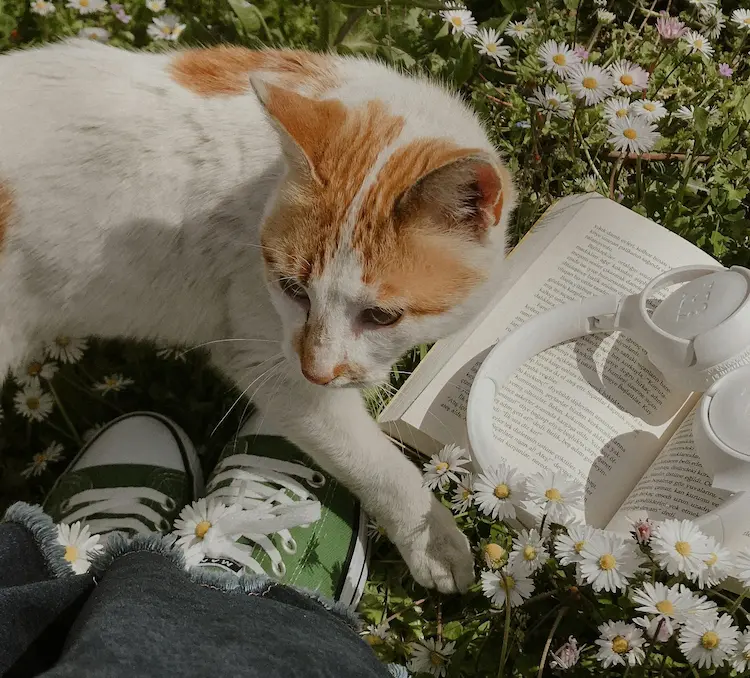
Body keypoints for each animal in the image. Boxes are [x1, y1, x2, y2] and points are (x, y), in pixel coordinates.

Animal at [0, 42, 516, 596]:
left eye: (381, 315)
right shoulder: (266, 358)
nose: (317, 371)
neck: (261, 181)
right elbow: (374, 462)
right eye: (292, 289)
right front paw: (431, 538)